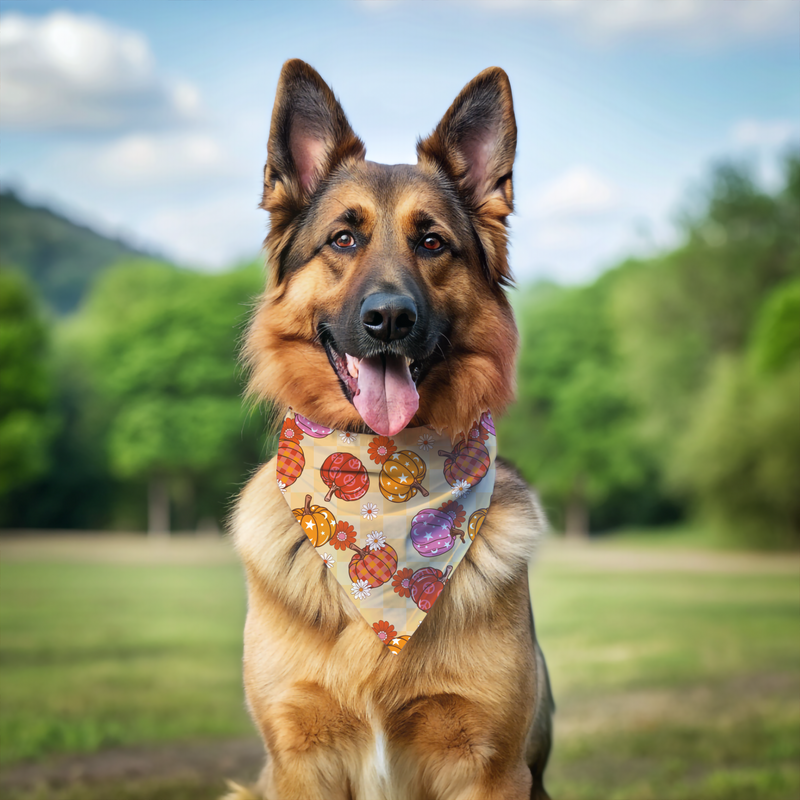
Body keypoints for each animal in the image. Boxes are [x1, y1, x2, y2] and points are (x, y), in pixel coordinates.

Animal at [228, 57, 552, 800]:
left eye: (432, 242)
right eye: (343, 239)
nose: (390, 320)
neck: (382, 483)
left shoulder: (492, 768)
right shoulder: (298, 760)